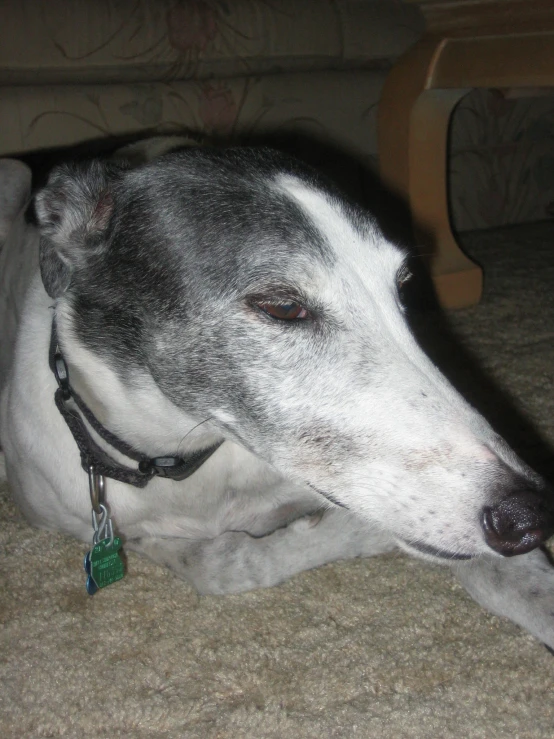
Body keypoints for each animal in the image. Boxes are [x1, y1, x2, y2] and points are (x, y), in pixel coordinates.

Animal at [1, 147, 552, 652]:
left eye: (402, 287)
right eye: (284, 307)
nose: (528, 517)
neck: (189, 456)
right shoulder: (117, 528)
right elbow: (223, 562)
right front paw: (356, 533)